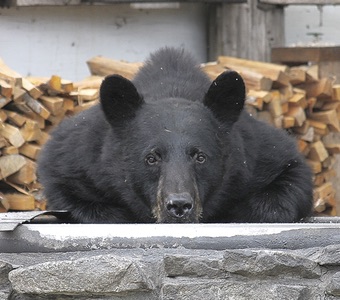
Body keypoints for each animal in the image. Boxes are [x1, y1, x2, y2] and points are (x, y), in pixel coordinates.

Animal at [37, 47, 314, 223]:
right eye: (151, 158)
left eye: (200, 157)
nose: (179, 206)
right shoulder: (83, 155)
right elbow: (63, 181)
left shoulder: (257, 154)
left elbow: (288, 179)